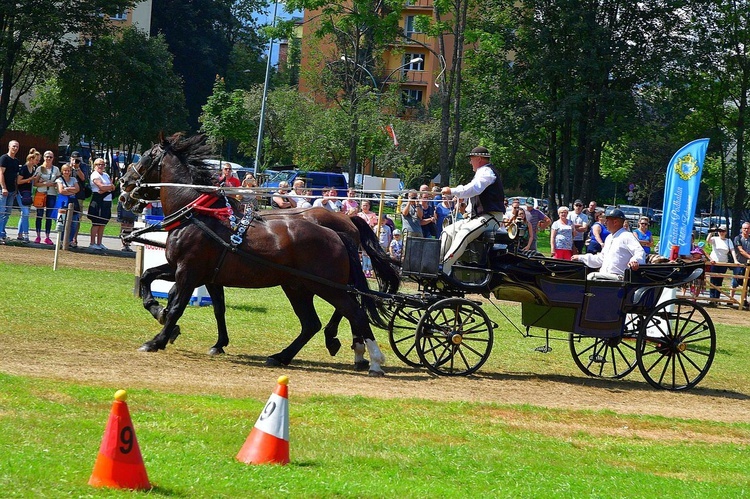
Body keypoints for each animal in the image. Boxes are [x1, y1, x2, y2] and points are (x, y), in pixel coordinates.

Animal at [120, 133, 390, 376]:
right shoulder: (190, 271)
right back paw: (282, 356)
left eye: (146, 156)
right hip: (298, 287)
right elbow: (150, 278)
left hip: (327, 286)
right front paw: (161, 313)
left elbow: (177, 305)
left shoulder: (189, 272)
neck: (196, 215)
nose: (123, 184)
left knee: (354, 312)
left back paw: (372, 360)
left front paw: (157, 339)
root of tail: (338, 232)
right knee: (313, 323)